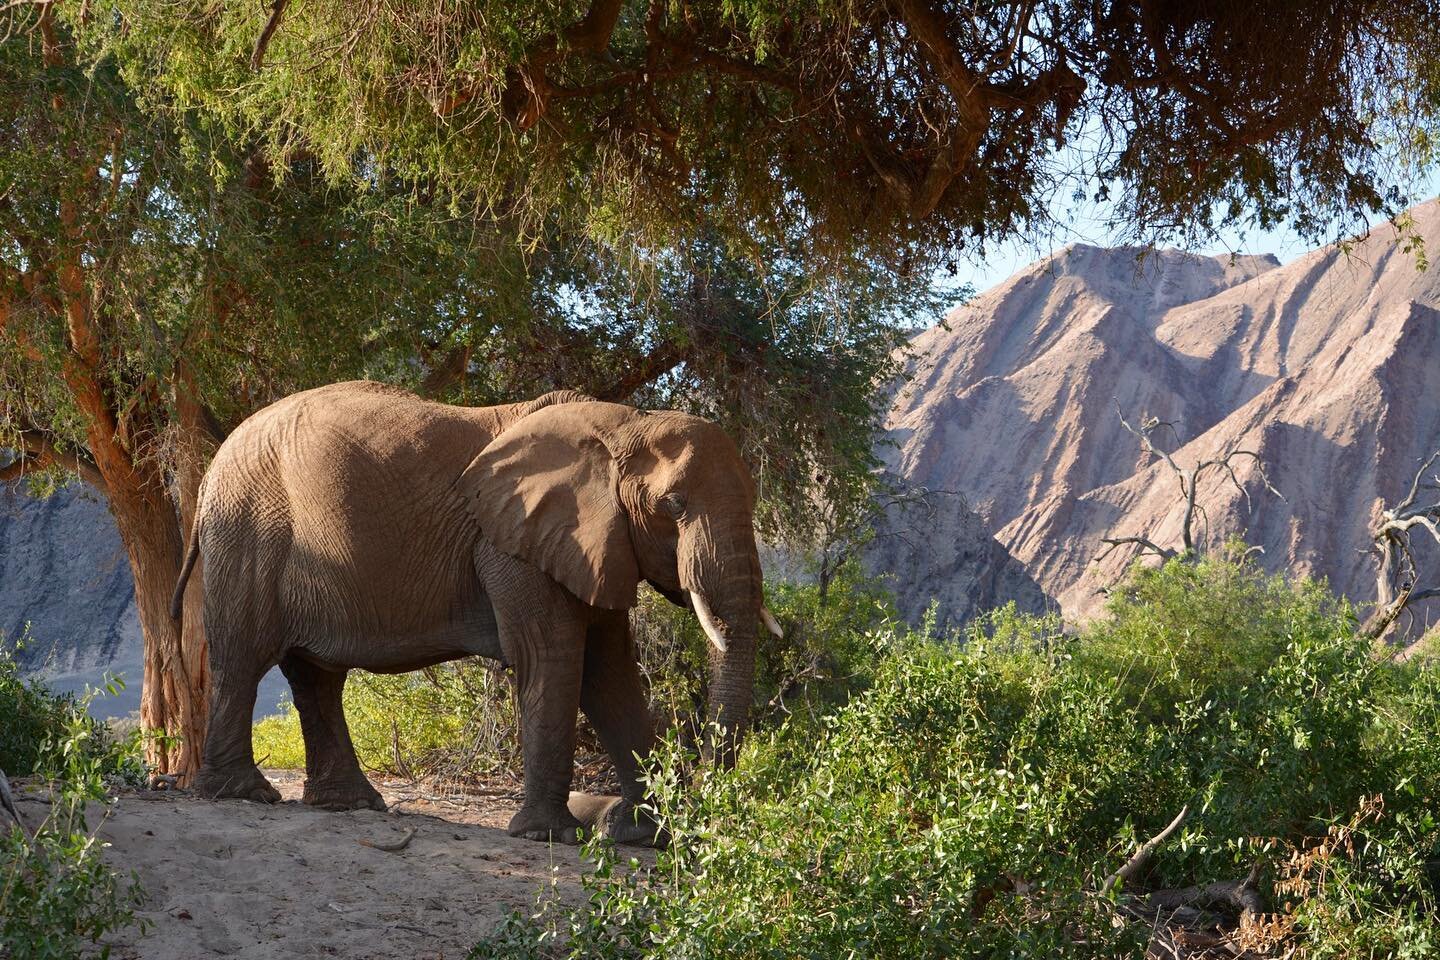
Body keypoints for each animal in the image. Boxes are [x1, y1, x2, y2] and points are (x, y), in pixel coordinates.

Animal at [172, 379, 783, 846]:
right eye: (673, 506)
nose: (700, 807)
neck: (624, 422)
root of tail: (209, 473)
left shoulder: (594, 543)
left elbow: (609, 674)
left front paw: (642, 835)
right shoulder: (513, 545)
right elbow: (555, 658)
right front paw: (549, 836)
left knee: (317, 677)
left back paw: (350, 804)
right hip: (247, 532)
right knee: (244, 660)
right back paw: (245, 794)